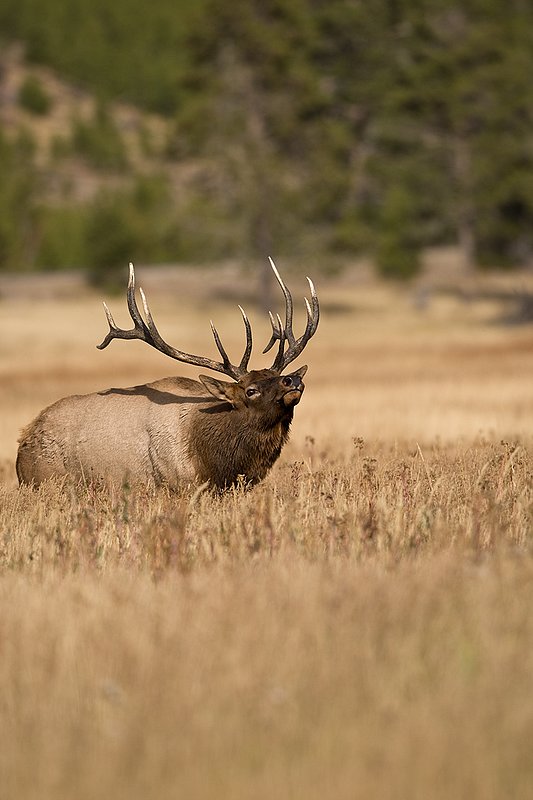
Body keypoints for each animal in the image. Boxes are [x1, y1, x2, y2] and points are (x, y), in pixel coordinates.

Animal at [16, 259, 319, 490]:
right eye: (250, 390)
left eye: (278, 375)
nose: (293, 379)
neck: (214, 460)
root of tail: (23, 441)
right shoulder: (175, 484)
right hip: (46, 482)